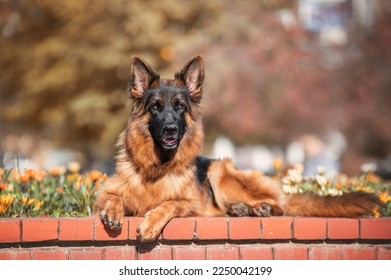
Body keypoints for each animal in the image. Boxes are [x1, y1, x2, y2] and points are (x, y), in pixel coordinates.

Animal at [95, 54, 382, 241]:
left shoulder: (188, 203)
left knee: (281, 204)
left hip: (220, 172)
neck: (157, 167)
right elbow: (112, 196)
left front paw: (151, 223)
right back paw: (242, 209)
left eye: (179, 107)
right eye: (156, 107)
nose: (170, 130)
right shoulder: (108, 190)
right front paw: (112, 210)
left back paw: (261, 209)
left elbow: (169, 204)